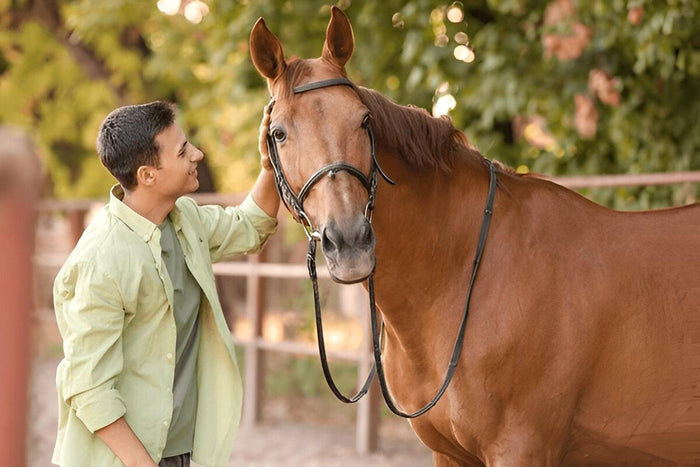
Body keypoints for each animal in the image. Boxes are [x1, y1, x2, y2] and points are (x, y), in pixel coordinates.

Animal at [249, 7, 700, 466]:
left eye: (364, 120)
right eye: (279, 133)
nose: (350, 243)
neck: (463, 273)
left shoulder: (522, 449)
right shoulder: (449, 453)